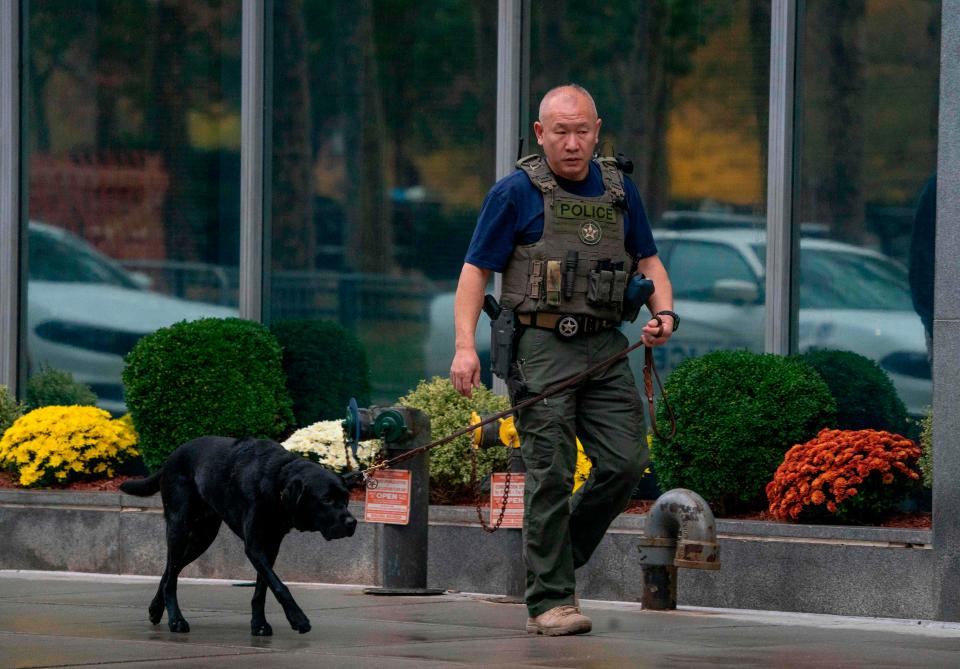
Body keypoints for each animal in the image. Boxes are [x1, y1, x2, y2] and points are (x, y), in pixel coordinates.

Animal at [119, 436, 356, 636]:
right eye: (326, 499)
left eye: (346, 498)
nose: (352, 523)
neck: (277, 480)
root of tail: (171, 458)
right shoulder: (254, 546)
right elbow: (279, 585)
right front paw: (298, 619)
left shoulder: (271, 546)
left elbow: (262, 588)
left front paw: (259, 624)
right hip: (179, 527)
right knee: (171, 575)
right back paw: (176, 620)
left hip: (203, 537)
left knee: (170, 571)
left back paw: (156, 609)